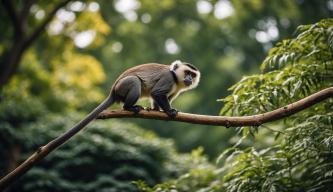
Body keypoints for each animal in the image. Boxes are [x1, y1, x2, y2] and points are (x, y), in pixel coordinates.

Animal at [68, 60, 200, 134]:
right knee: (134, 80)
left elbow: (159, 97)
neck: (176, 80)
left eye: (193, 75)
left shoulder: (176, 90)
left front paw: (156, 110)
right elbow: (157, 93)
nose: (189, 79)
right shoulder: (168, 78)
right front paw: (169, 111)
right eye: (187, 73)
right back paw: (129, 107)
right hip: (122, 86)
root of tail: (113, 90)